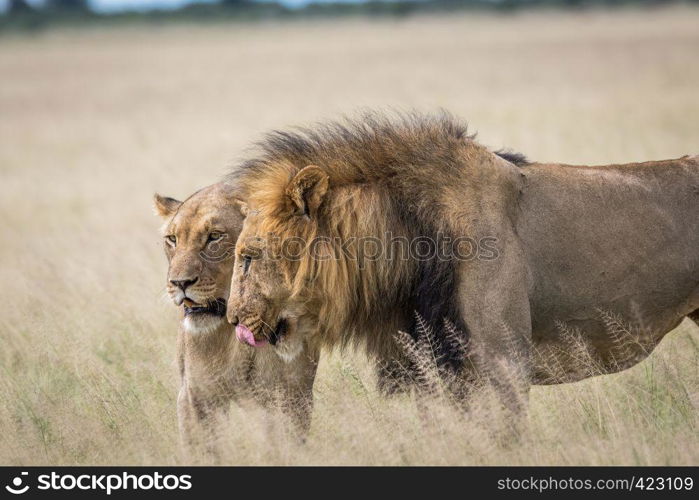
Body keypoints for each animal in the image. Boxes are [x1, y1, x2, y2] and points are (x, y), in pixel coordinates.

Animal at [154, 184, 320, 458]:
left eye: (214, 236)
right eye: (172, 239)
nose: (179, 283)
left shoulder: (291, 396)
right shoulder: (196, 395)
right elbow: (204, 452)